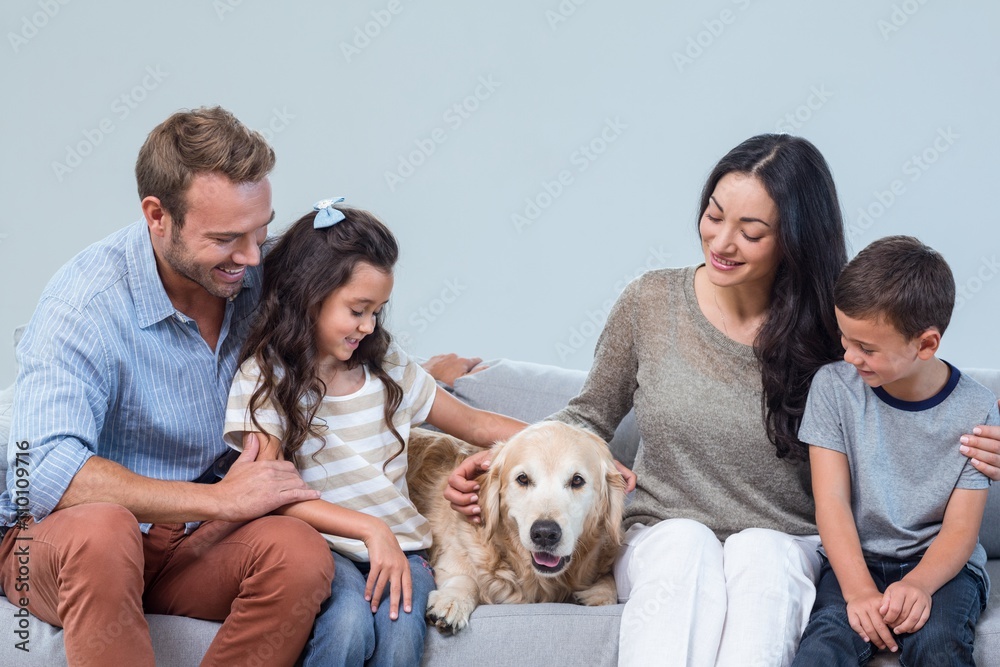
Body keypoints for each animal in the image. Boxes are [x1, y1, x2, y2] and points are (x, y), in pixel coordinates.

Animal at [404, 426, 624, 636]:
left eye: (577, 480)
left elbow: (610, 581)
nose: (545, 534)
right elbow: (466, 578)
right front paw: (453, 601)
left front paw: (598, 595)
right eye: (523, 479)